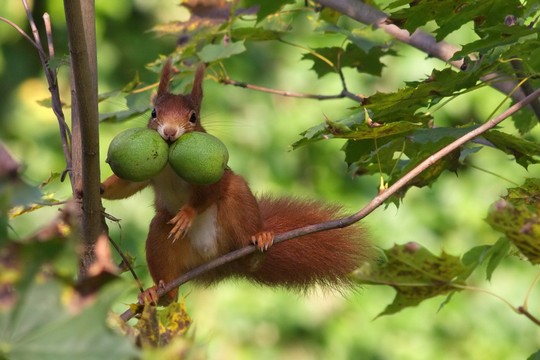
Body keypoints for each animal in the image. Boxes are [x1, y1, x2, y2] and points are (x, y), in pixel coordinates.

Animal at [101, 59, 374, 304]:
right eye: (154, 113)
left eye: (193, 117)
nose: (169, 133)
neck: (169, 161)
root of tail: (214, 261)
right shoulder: (149, 172)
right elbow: (128, 185)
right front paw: (99, 189)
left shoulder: (215, 176)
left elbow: (209, 191)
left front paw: (188, 213)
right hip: (161, 236)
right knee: (170, 291)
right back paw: (156, 293)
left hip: (237, 212)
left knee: (241, 220)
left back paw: (258, 244)